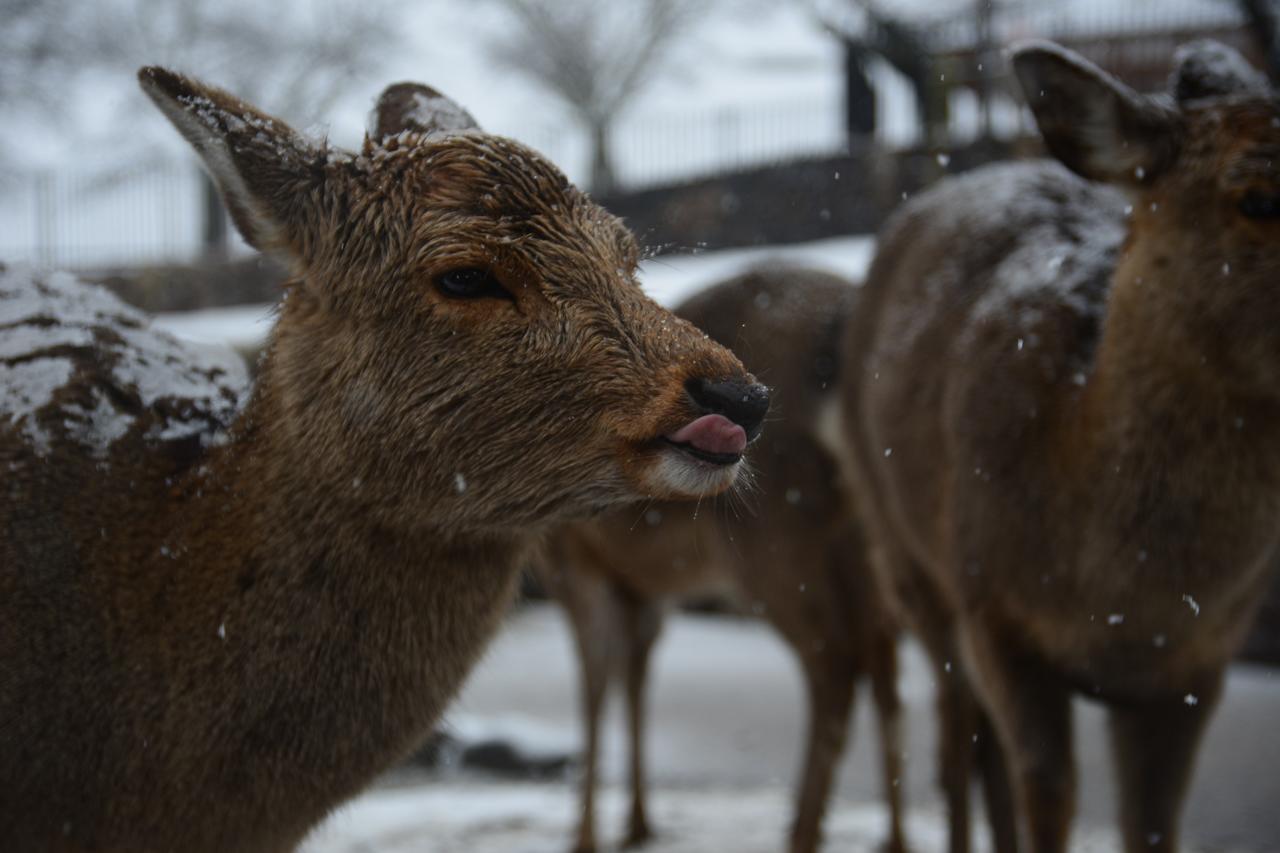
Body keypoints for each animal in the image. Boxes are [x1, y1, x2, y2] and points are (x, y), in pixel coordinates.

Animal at [535, 263, 906, 850]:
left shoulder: (573, 564)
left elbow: (594, 683)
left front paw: (586, 835)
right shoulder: (643, 585)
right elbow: (636, 676)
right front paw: (638, 822)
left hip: (776, 539)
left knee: (835, 663)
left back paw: (801, 830)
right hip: (864, 539)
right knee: (883, 657)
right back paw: (892, 836)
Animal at [834, 36, 1280, 850]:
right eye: (1257, 196)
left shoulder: (1203, 663)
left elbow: (1153, 821)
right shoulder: (997, 614)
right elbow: (1046, 789)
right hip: (906, 557)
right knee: (958, 742)